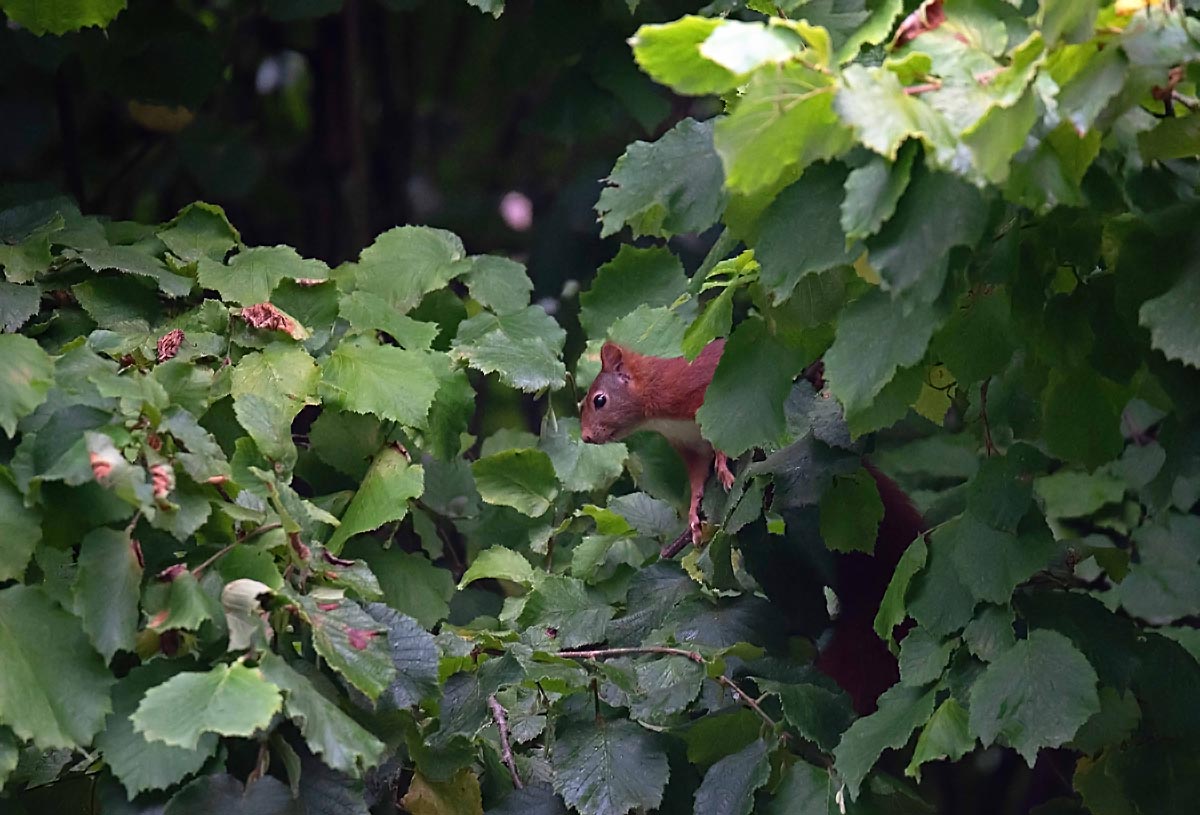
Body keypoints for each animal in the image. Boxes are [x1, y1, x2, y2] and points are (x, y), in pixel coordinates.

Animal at [580, 339, 925, 713]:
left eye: (599, 400)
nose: (585, 437)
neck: (657, 406)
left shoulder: (703, 395)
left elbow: (724, 437)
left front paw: (724, 466)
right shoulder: (687, 445)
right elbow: (697, 480)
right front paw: (694, 514)